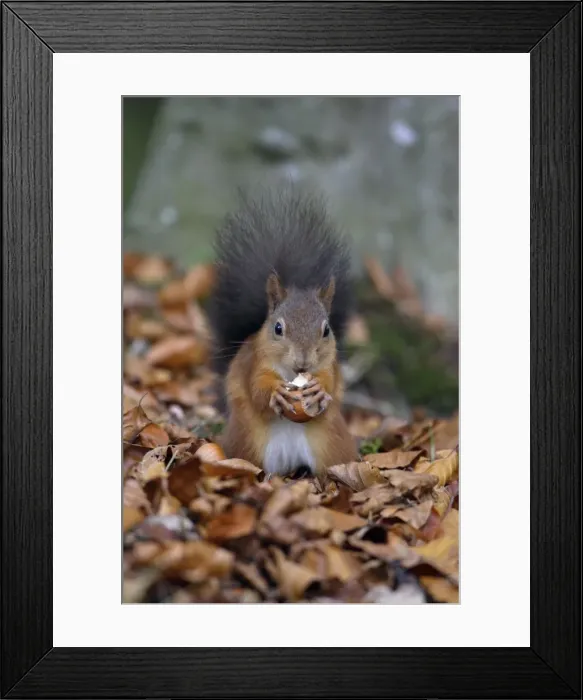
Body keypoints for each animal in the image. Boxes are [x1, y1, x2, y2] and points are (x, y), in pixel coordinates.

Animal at [210, 190, 359, 479]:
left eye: (326, 330)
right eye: (278, 328)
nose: (303, 362)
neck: (292, 373)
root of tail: (289, 464)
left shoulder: (329, 366)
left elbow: (331, 382)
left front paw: (319, 391)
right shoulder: (255, 363)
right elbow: (257, 388)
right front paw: (276, 393)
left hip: (333, 445)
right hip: (246, 443)